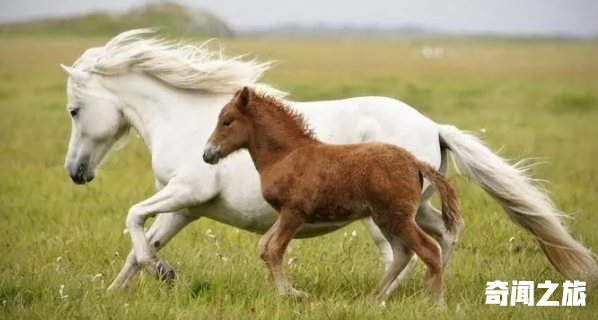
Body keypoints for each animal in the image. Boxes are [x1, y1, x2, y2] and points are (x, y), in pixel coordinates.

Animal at [203, 87, 464, 302]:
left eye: (227, 122)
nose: (208, 154)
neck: (285, 155)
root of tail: (415, 163)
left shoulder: (294, 212)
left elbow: (275, 248)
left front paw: (289, 293)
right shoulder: (285, 213)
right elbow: (264, 246)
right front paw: (289, 291)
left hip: (397, 218)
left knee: (428, 250)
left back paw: (436, 304)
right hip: (385, 218)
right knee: (403, 253)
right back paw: (373, 298)